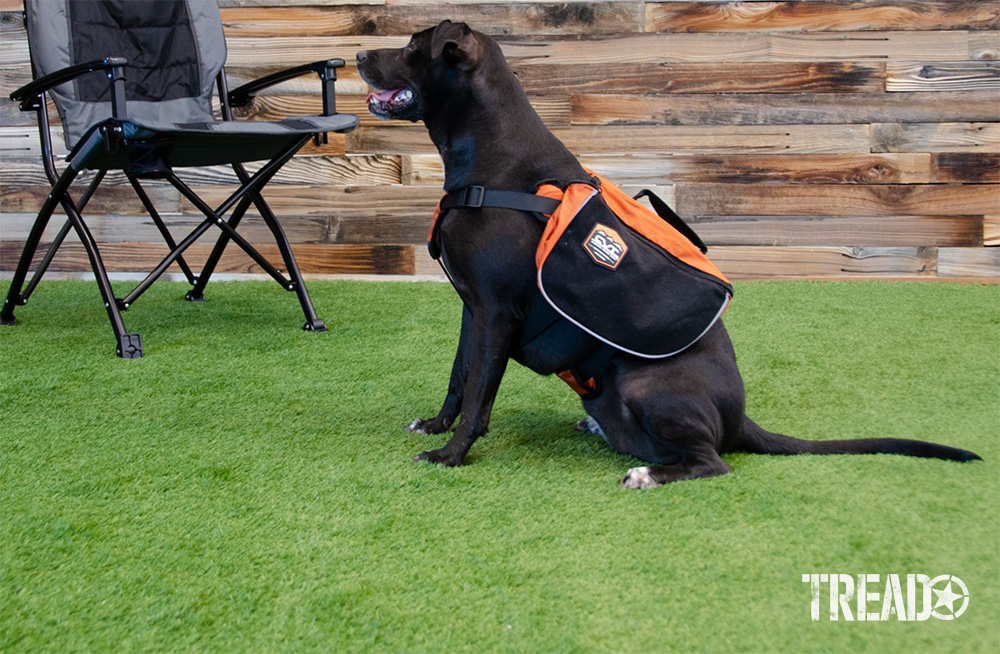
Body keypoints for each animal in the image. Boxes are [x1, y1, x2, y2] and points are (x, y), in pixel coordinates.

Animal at [356, 21, 980, 486]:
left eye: (411, 47)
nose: (357, 52)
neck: (492, 157)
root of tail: (741, 420)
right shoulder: (473, 308)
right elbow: (460, 378)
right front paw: (436, 427)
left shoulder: (497, 312)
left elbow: (479, 396)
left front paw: (452, 455)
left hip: (647, 387)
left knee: (713, 463)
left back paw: (649, 475)